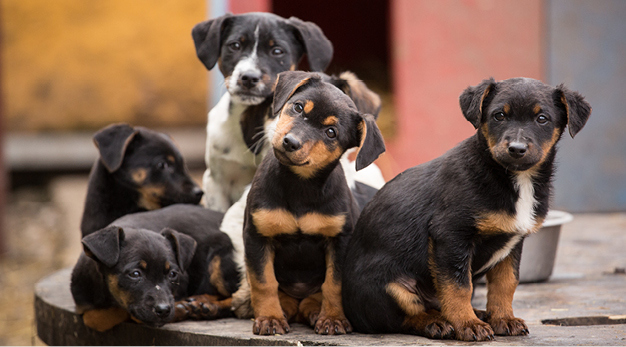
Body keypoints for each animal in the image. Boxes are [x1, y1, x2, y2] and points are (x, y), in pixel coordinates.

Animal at [70, 205, 239, 334]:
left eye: (173, 274)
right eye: (135, 274)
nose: (164, 310)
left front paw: (179, 309)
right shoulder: (83, 306)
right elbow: (95, 317)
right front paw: (181, 308)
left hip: (220, 262)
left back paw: (210, 307)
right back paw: (200, 301)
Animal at [241, 71, 382, 338]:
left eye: (331, 132)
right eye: (298, 107)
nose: (290, 142)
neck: (300, 186)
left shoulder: (340, 241)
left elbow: (334, 284)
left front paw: (333, 319)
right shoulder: (257, 235)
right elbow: (264, 282)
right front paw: (270, 319)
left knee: (314, 298)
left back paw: (316, 312)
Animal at [342, 77, 588, 342]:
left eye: (542, 118)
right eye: (499, 115)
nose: (516, 149)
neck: (512, 177)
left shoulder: (513, 243)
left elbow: (506, 284)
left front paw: (503, 318)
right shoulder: (452, 235)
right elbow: (459, 286)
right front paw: (468, 324)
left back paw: (479, 314)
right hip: (391, 286)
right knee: (401, 318)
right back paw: (437, 323)